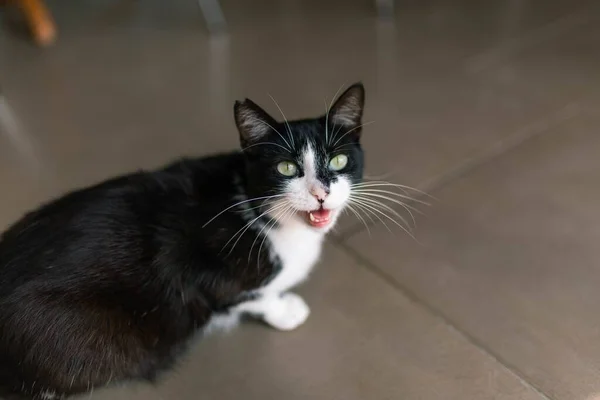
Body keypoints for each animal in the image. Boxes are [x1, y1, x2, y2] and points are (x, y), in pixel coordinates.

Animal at [0, 83, 366, 398]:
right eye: (286, 167)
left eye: (338, 160)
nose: (321, 193)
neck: (258, 209)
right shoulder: (211, 273)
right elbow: (246, 296)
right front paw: (286, 311)